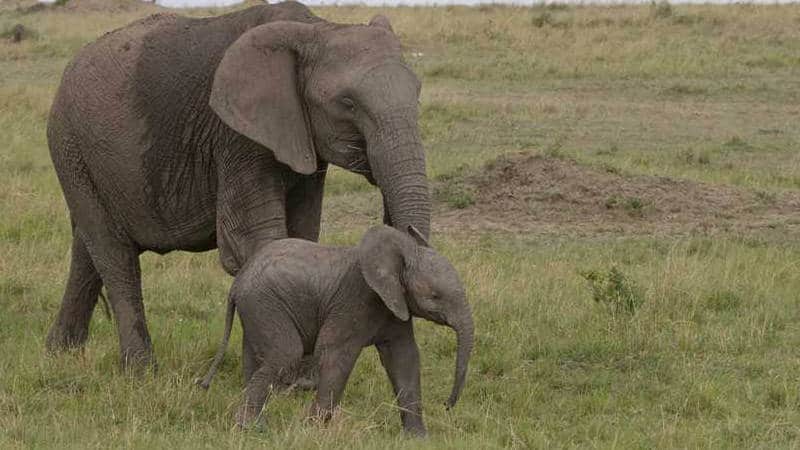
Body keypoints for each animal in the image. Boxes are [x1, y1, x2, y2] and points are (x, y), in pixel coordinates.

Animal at [46, 1, 428, 370]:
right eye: (347, 104)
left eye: (417, 94)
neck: (316, 28)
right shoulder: (236, 136)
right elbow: (253, 241)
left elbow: (302, 237)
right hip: (71, 146)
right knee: (114, 254)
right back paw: (140, 370)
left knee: (87, 249)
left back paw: (61, 352)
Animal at [200, 225, 472, 436]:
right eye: (435, 296)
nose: (447, 405)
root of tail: (237, 283)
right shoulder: (355, 300)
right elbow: (336, 355)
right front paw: (312, 430)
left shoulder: (395, 306)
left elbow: (404, 358)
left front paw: (418, 438)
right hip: (266, 303)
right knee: (286, 353)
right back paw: (250, 427)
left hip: (256, 309)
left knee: (256, 358)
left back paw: (256, 427)